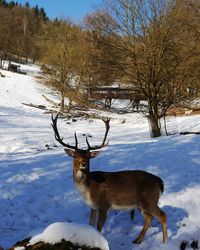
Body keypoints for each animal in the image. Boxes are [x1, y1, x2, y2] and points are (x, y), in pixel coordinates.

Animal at [51, 114, 167, 244]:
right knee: (149, 218)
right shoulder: (93, 206)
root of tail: (160, 182)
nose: (83, 163)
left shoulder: (104, 204)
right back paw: (137, 240)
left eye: (88, 156)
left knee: (163, 216)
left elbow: (98, 227)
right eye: (75, 156)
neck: (87, 189)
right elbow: (90, 225)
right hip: (141, 204)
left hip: (149, 200)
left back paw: (165, 242)